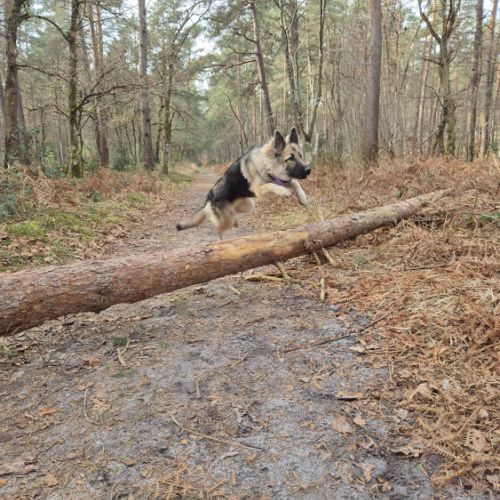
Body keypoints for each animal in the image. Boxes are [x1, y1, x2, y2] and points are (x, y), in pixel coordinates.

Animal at [176, 127, 311, 241]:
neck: (267, 164)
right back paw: (219, 241)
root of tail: (208, 199)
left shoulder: (282, 180)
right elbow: (271, 185)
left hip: (248, 205)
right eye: (290, 158)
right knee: (218, 228)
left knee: (232, 217)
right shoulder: (260, 190)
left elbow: (295, 183)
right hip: (226, 219)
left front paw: (303, 198)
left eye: (301, 156)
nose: (308, 170)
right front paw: (283, 192)